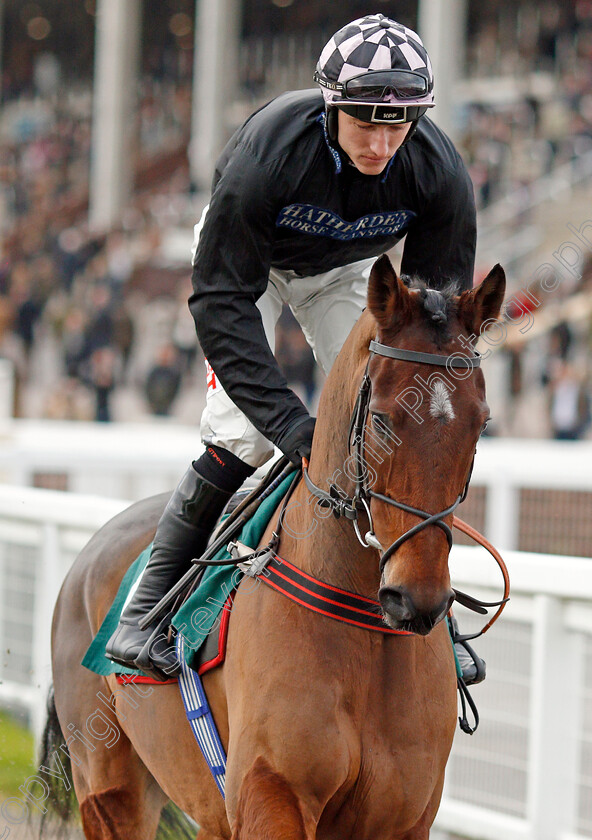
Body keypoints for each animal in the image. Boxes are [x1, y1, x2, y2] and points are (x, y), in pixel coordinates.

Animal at [45, 258, 504, 840]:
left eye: (480, 424)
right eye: (381, 418)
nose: (416, 598)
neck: (362, 621)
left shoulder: (404, 814)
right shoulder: (270, 792)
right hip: (109, 788)